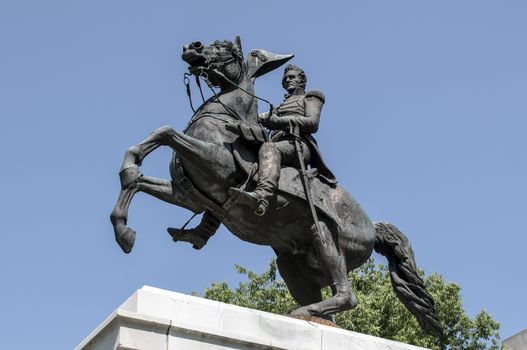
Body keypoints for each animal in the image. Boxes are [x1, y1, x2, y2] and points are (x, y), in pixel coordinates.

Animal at [111, 37, 446, 334]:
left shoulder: (214, 163)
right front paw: (124, 231)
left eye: (225, 47)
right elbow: (138, 179)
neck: (222, 119)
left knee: (346, 293)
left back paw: (305, 310)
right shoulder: (190, 196)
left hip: (325, 236)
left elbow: (166, 132)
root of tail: (372, 227)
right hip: (292, 263)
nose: (191, 47)